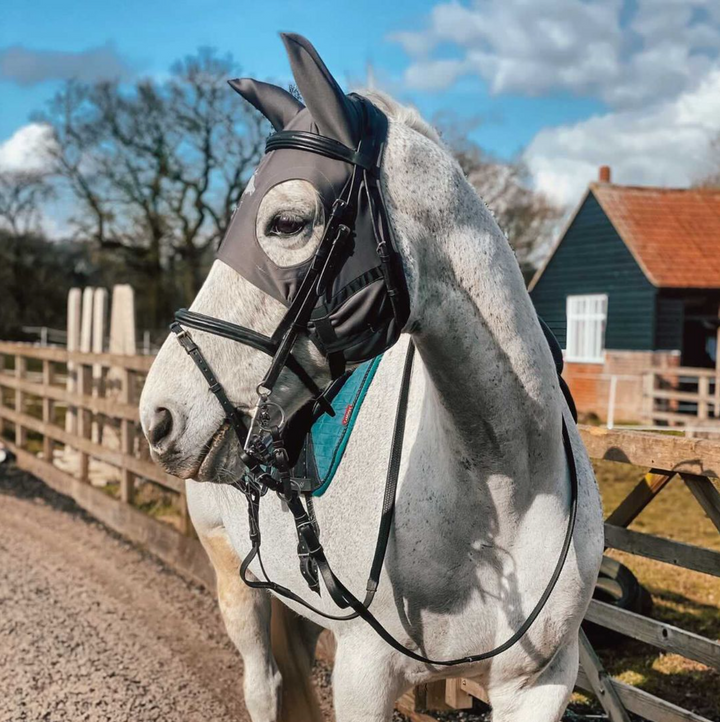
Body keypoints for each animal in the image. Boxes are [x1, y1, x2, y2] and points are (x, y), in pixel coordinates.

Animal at [138, 36, 604, 720]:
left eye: (285, 223)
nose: (160, 416)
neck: (506, 488)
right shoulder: (366, 674)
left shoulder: (541, 685)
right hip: (233, 574)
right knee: (264, 681)